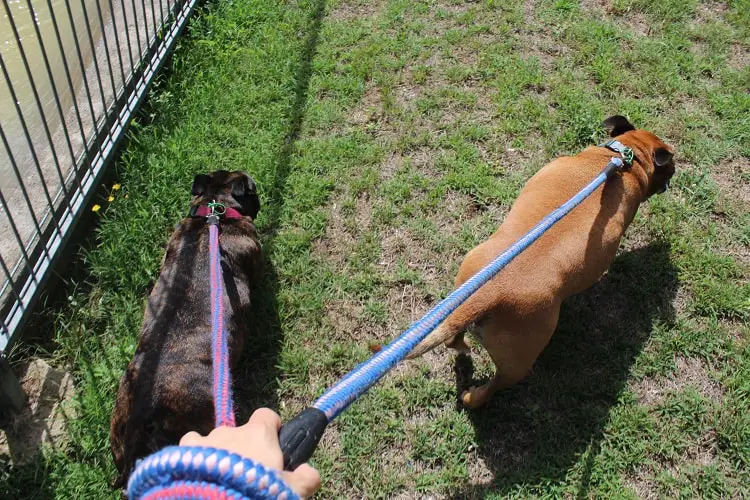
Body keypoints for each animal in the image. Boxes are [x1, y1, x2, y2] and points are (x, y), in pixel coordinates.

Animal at [408, 115, 680, 408]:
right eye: (671, 162)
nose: (676, 170)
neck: (626, 158)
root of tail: (485, 295)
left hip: (461, 287)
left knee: (453, 340)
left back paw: (462, 354)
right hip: (519, 359)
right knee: (494, 387)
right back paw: (473, 397)